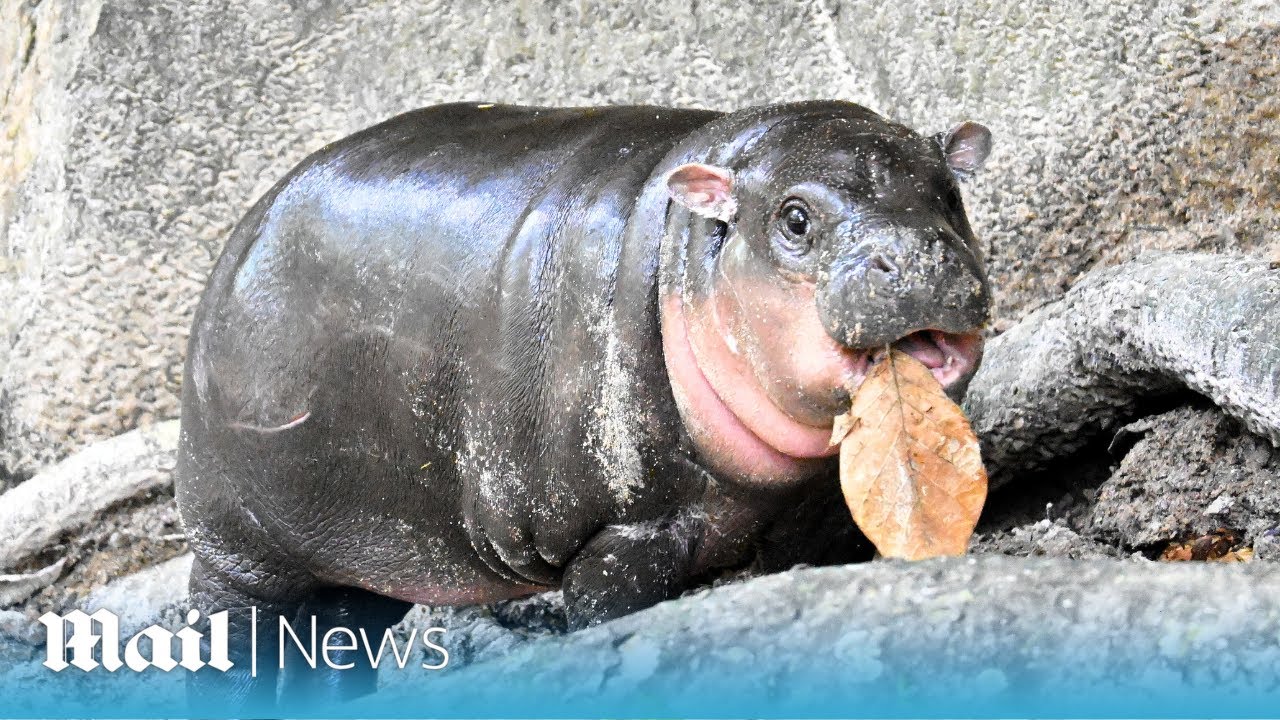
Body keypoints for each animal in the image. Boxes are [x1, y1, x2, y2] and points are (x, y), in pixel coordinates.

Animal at [175, 100, 992, 708]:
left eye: (949, 194)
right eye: (795, 219)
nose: (920, 252)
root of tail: (242, 234)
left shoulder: (805, 517)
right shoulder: (620, 533)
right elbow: (611, 612)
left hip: (365, 550)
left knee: (343, 637)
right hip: (235, 547)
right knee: (234, 637)